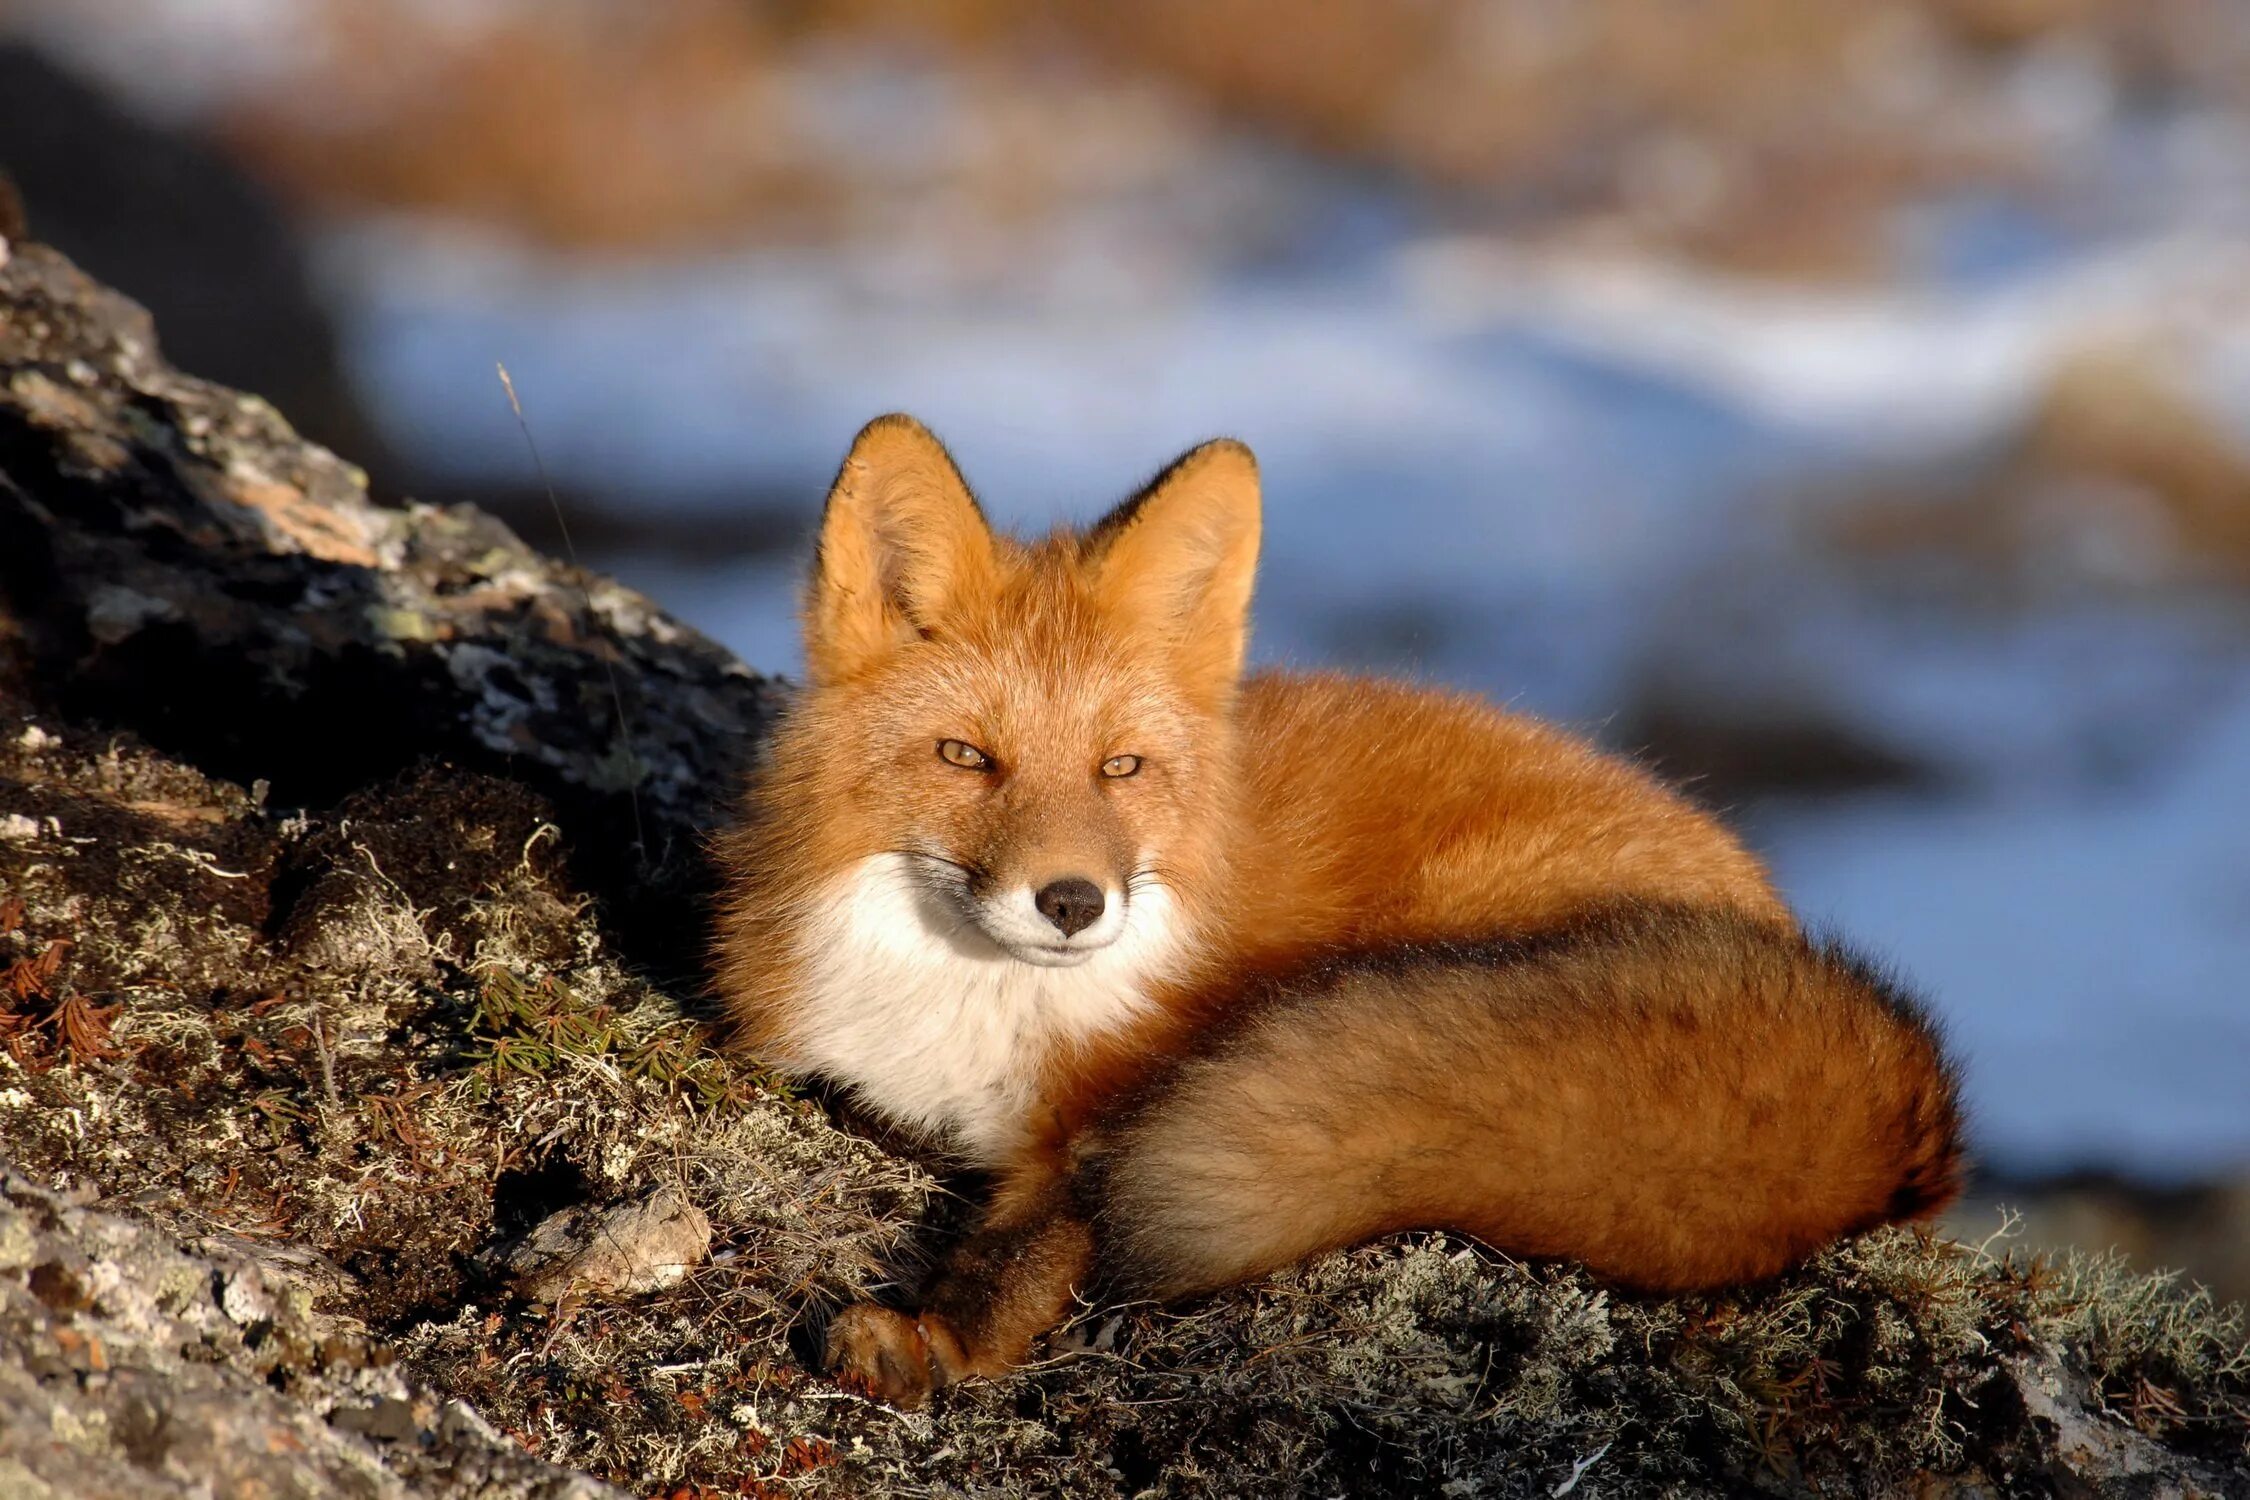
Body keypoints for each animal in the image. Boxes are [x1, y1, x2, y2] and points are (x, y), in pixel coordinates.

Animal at [711, 420, 1962, 1412]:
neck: (973, 1007)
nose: (1071, 903)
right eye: (966, 757)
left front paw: (940, 1338)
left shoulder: (1109, 1107)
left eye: (1121, 769)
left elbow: (1039, 1238)